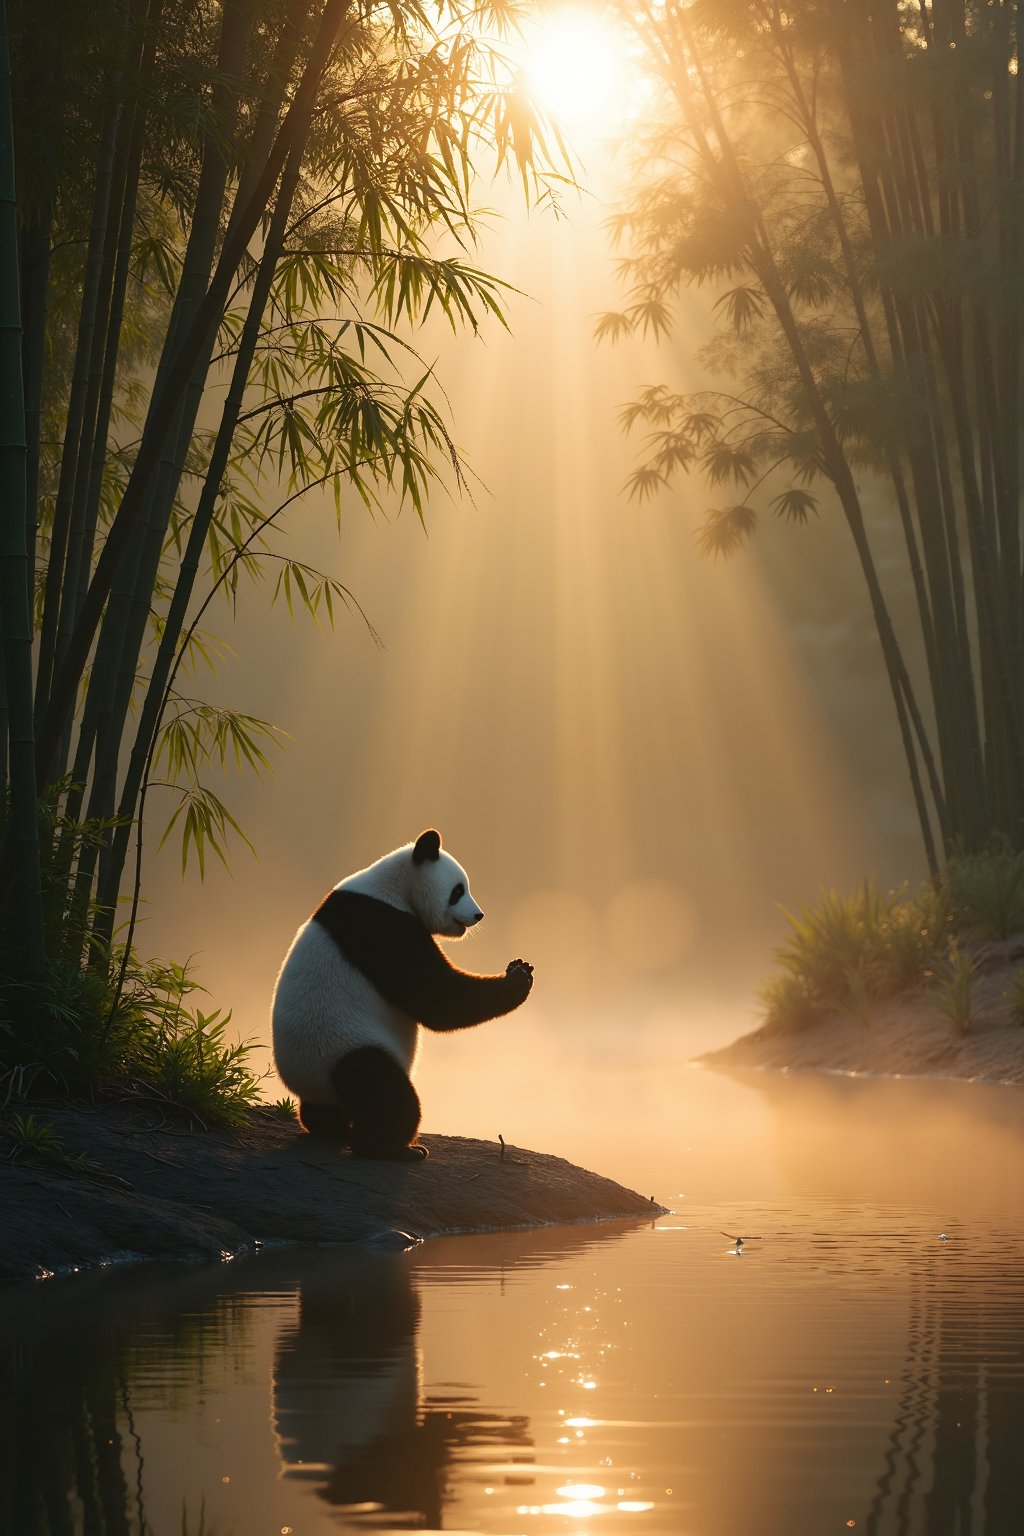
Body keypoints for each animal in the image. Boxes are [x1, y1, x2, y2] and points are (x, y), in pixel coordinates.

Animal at [271, 835, 537, 1155]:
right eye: (457, 891)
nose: (478, 915)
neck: (392, 887)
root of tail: (309, 1083)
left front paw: (519, 967)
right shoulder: (384, 928)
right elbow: (438, 999)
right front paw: (518, 979)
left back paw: (331, 1127)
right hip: (343, 1044)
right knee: (387, 1094)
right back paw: (391, 1148)